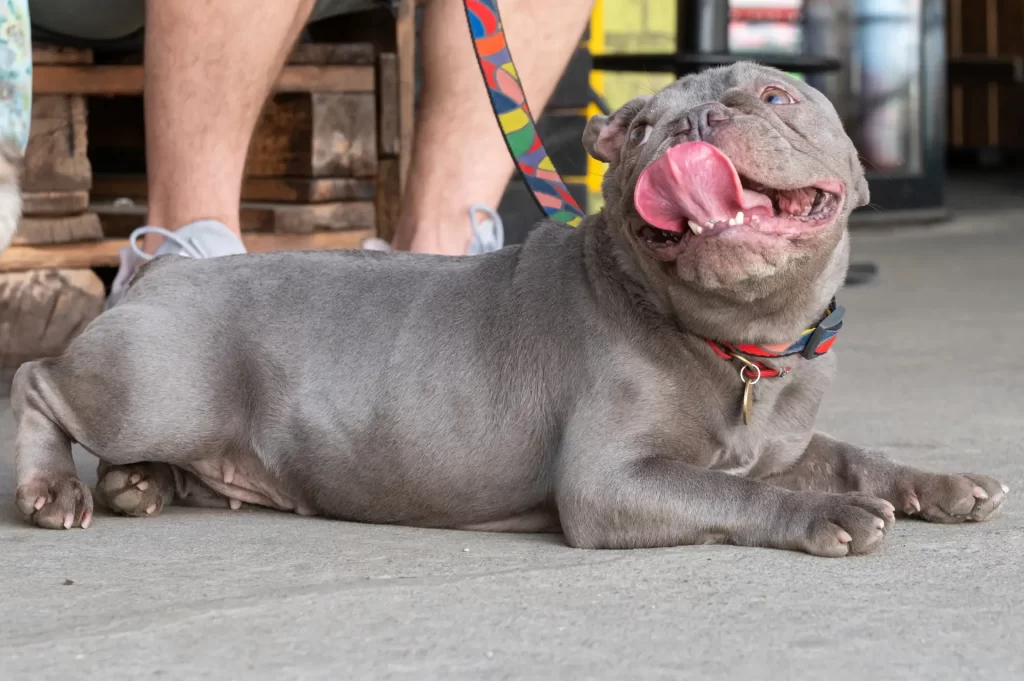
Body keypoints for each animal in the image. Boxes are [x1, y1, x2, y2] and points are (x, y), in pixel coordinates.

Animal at [9, 63, 1007, 557]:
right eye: (639, 127)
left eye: (774, 96)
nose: (687, 129)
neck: (742, 346)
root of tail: (162, 273)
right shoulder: (610, 481)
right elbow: (734, 488)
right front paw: (824, 516)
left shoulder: (788, 438)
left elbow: (850, 454)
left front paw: (941, 483)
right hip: (155, 387)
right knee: (37, 381)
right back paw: (54, 488)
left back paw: (141, 484)